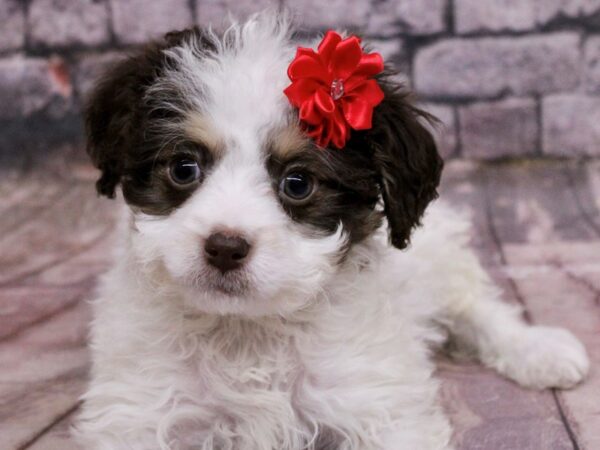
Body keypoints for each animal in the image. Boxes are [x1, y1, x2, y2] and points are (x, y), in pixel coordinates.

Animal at [75, 12, 592, 448]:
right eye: (184, 168)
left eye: (298, 183)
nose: (224, 247)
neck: (247, 331)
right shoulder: (137, 409)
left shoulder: (377, 402)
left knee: (478, 308)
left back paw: (539, 349)